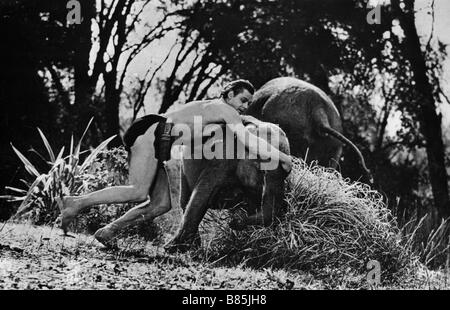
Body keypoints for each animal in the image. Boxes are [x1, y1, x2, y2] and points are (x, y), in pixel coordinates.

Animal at [163, 121, 290, 252]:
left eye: (287, 174)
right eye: (262, 169)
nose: (232, 223)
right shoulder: (223, 158)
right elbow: (202, 193)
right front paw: (172, 248)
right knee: (185, 199)